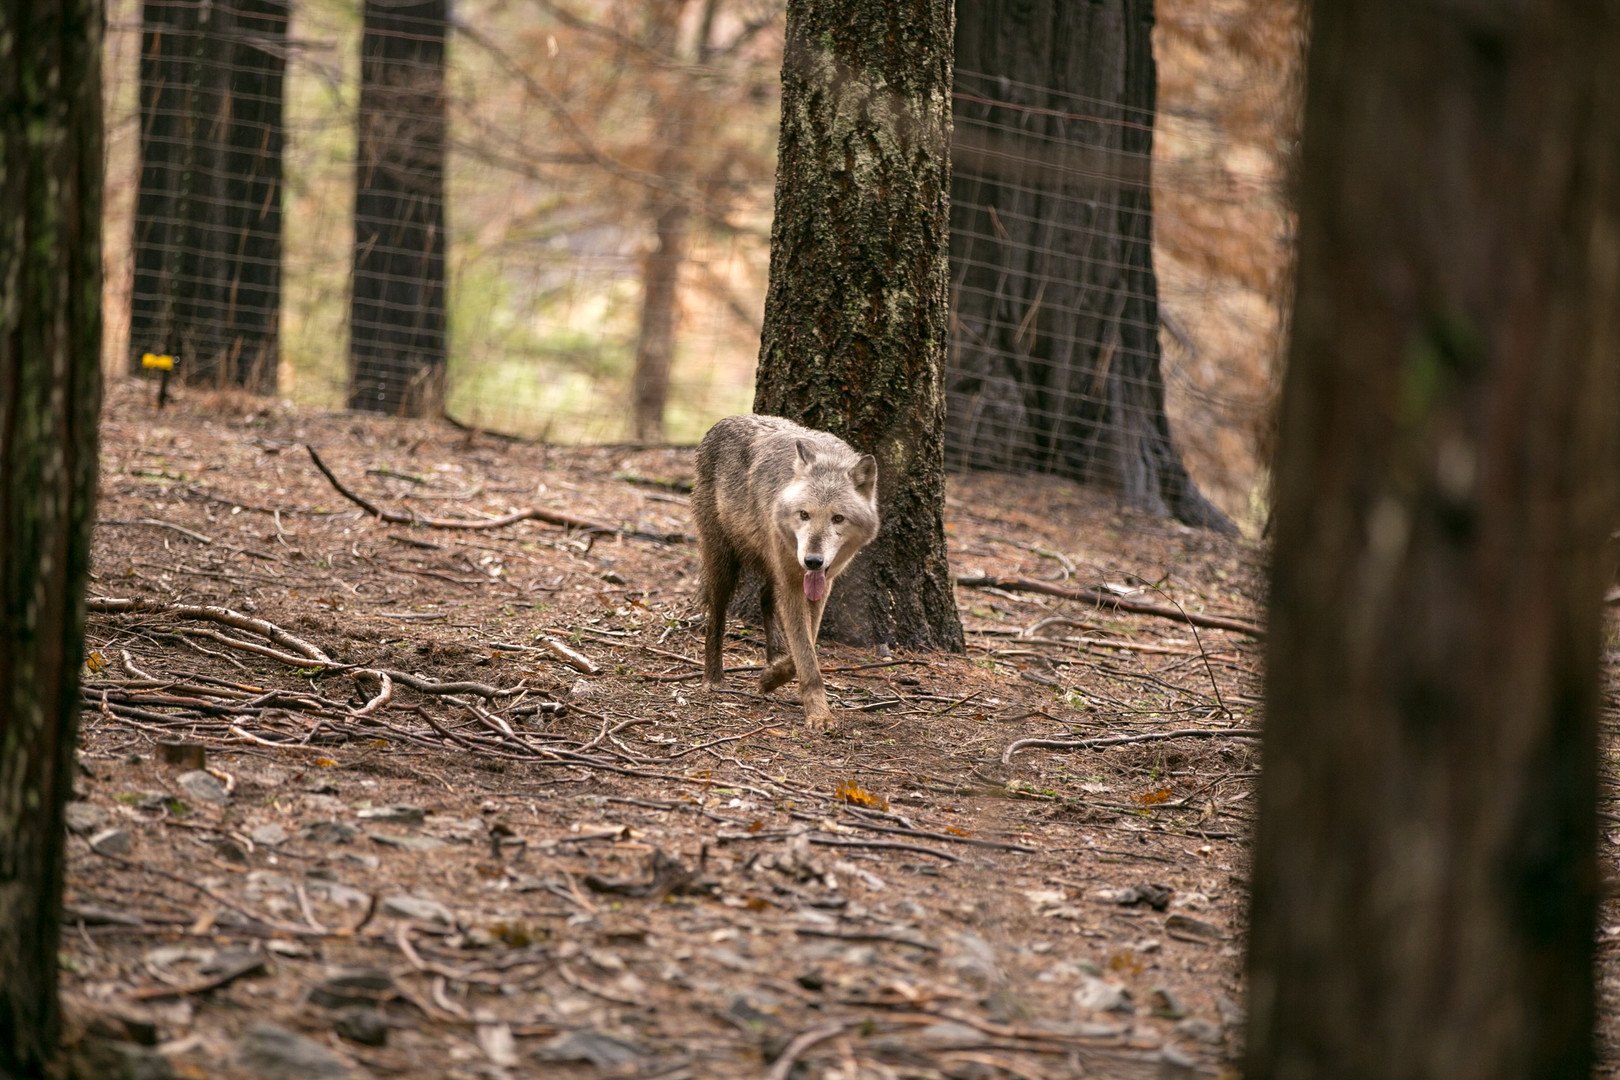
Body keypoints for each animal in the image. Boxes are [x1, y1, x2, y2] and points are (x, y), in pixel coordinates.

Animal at [691, 415, 879, 732]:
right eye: (804, 514)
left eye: (838, 518)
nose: (813, 561)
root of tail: (724, 421)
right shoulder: (792, 583)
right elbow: (805, 652)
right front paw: (818, 714)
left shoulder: (821, 583)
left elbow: (807, 643)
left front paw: (772, 677)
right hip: (723, 564)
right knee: (715, 617)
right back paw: (712, 679)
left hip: (772, 566)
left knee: (766, 598)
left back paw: (773, 656)